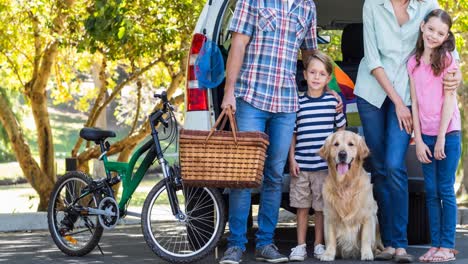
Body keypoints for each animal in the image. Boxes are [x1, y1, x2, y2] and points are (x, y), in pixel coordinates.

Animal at [318, 131, 380, 260]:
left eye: (351, 144)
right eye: (336, 144)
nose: (342, 154)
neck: (345, 184)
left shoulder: (367, 216)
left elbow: (366, 238)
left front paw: (366, 254)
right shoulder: (330, 216)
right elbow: (330, 239)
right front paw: (328, 254)